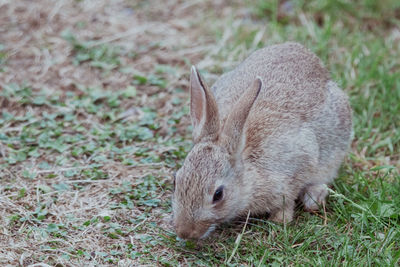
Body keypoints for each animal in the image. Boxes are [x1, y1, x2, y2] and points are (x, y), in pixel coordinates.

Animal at [170, 42, 352, 241]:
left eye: (218, 195)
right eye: (176, 181)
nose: (185, 232)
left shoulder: (299, 165)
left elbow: (288, 199)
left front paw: (280, 220)